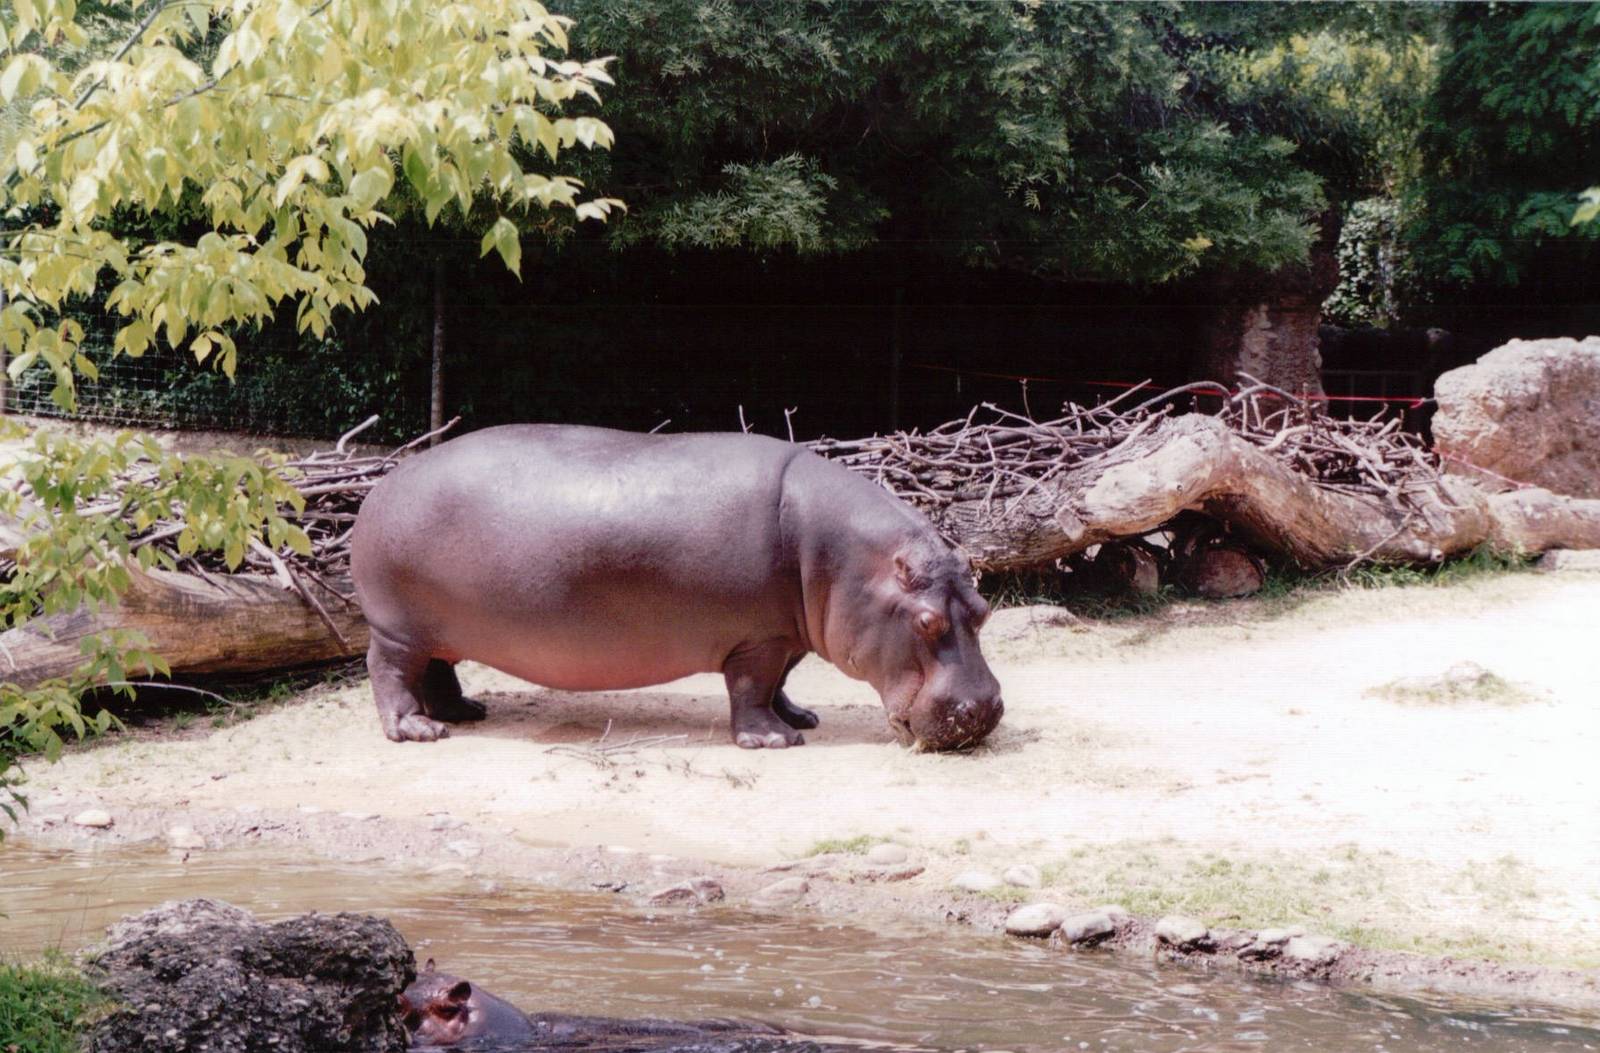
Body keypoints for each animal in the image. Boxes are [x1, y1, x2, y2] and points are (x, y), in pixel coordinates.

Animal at [351, 425, 1003, 751]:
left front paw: (803, 718)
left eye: (983, 608)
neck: (844, 560)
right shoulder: (758, 638)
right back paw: (419, 732)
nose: (985, 710)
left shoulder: (786, 633)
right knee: (389, 672)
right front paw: (776, 741)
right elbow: (753, 687)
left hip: (435, 629)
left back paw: (464, 713)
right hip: (397, 629)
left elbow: (781, 682)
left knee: (438, 670)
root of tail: (381, 486)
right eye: (926, 622)